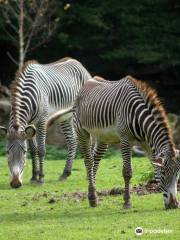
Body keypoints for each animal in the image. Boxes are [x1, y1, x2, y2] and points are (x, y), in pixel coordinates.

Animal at [0, 57, 91, 188]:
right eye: (7, 152)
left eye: (24, 152)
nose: (15, 184)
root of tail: (77, 62)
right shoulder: (29, 124)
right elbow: (34, 150)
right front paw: (34, 177)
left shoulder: (42, 121)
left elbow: (41, 150)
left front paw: (41, 178)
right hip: (65, 117)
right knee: (72, 141)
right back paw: (65, 173)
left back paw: (89, 174)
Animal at [72, 76, 179, 209]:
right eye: (164, 173)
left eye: (178, 173)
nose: (174, 204)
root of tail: (90, 80)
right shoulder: (125, 140)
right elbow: (127, 172)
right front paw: (127, 202)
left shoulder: (147, 144)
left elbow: (153, 165)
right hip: (81, 131)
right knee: (88, 161)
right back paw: (92, 196)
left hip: (102, 137)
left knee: (95, 160)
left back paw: (94, 197)